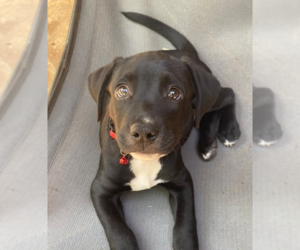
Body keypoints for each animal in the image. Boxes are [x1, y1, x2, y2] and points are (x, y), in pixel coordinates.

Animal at [88, 12, 240, 249]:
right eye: (122, 91)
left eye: (174, 93)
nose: (144, 132)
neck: (144, 162)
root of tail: (186, 53)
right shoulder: (100, 190)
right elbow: (119, 230)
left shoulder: (182, 182)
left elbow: (185, 226)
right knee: (206, 115)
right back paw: (209, 144)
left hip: (209, 95)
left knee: (228, 93)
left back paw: (228, 131)